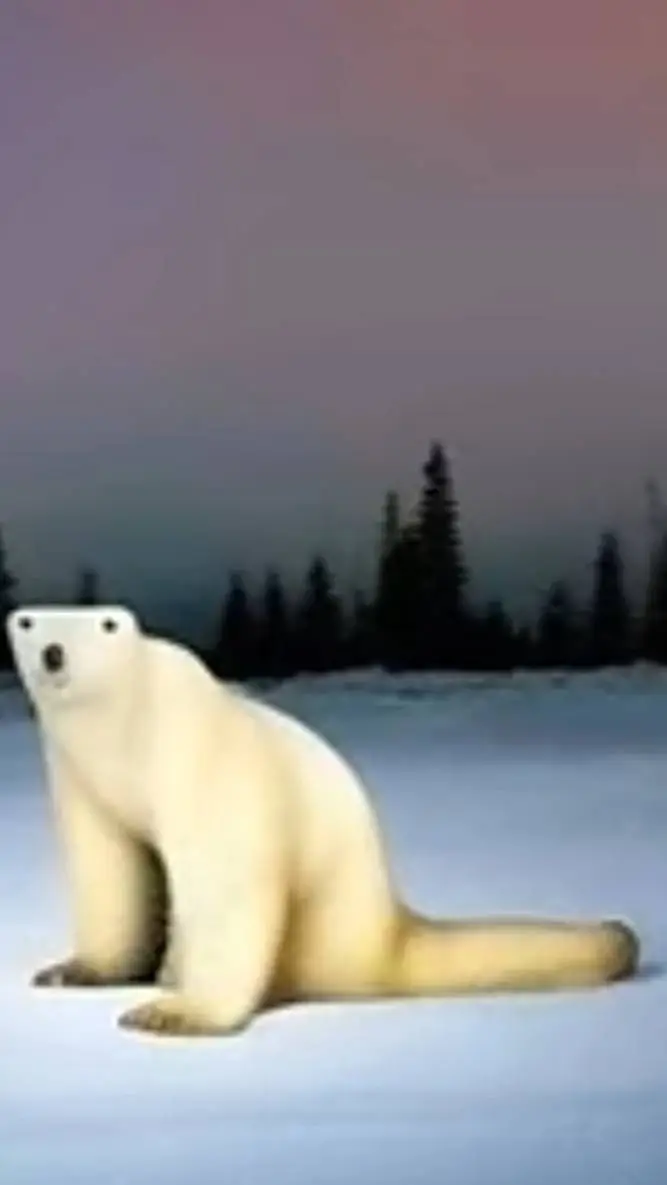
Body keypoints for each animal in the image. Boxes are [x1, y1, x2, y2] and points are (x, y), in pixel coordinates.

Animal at [6, 604, 639, 1039]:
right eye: (28, 622)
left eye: (105, 625)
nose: (54, 653)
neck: (127, 734)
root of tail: (386, 927)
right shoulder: (83, 781)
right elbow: (112, 867)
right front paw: (72, 970)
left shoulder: (202, 758)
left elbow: (228, 879)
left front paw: (172, 1011)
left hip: (323, 923)